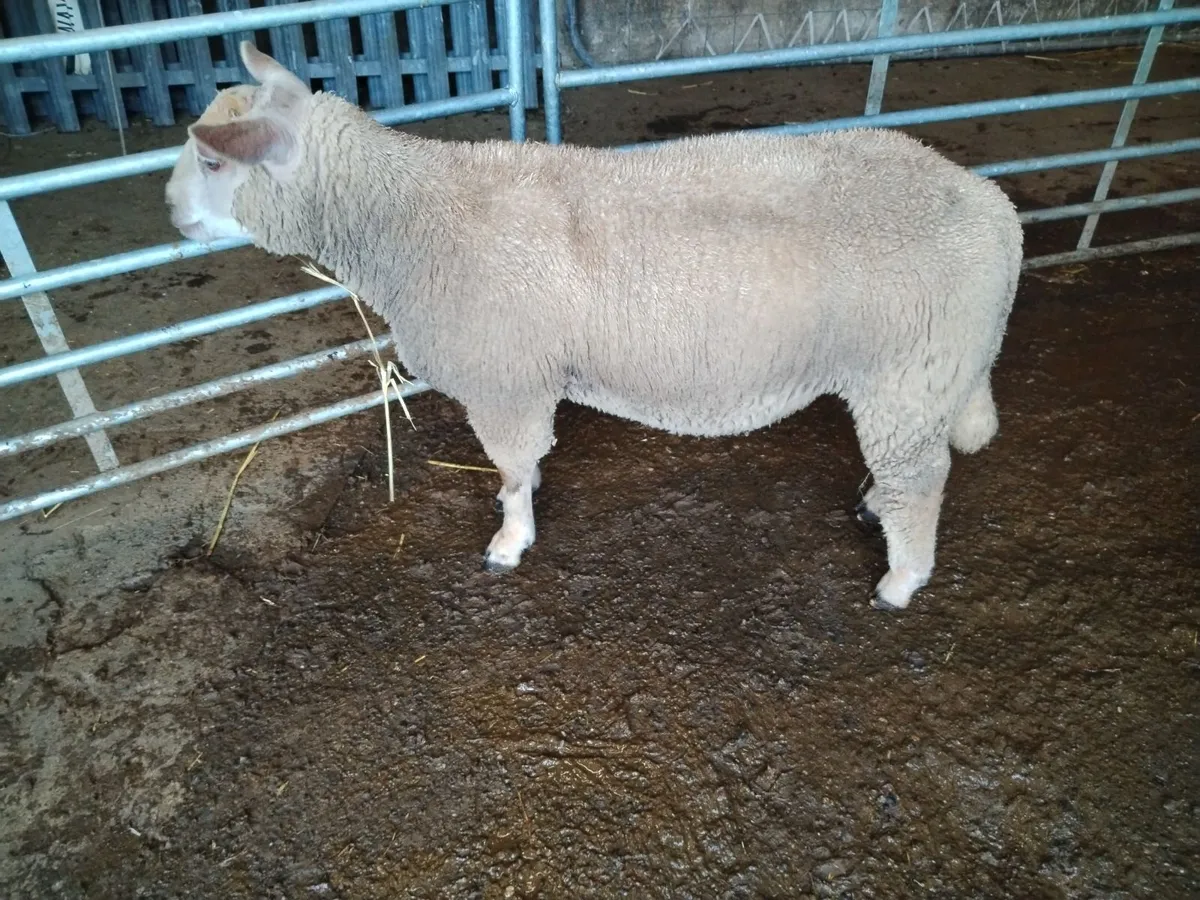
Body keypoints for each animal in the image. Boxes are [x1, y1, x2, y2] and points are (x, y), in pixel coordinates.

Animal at [165, 41, 1023, 611]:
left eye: (212, 163)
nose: (170, 213)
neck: (408, 216)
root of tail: (995, 209)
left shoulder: (503, 378)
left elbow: (511, 471)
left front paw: (510, 540)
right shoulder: (524, 380)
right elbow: (526, 459)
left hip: (906, 373)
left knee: (923, 479)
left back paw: (900, 578)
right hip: (923, 379)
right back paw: (877, 509)